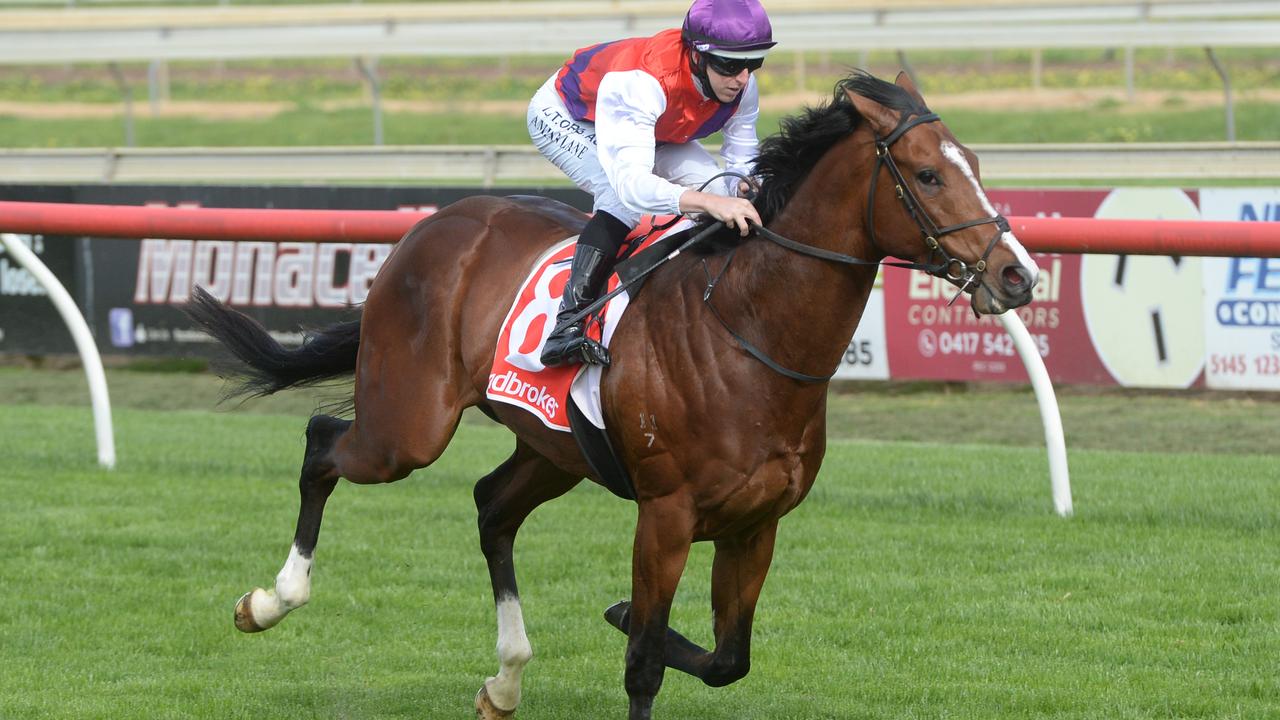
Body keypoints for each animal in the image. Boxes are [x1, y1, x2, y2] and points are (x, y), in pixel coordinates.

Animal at [185, 68, 1034, 717]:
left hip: (553, 449)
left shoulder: (756, 524)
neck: (747, 330)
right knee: (322, 443)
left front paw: (619, 614)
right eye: (928, 174)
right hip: (408, 427)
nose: (1017, 273)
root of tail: (430, 228)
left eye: (974, 162)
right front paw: (631, 619)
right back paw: (270, 600)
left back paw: (505, 678)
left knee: (491, 508)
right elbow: (646, 662)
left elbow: (727, 659)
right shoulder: (665, 516)